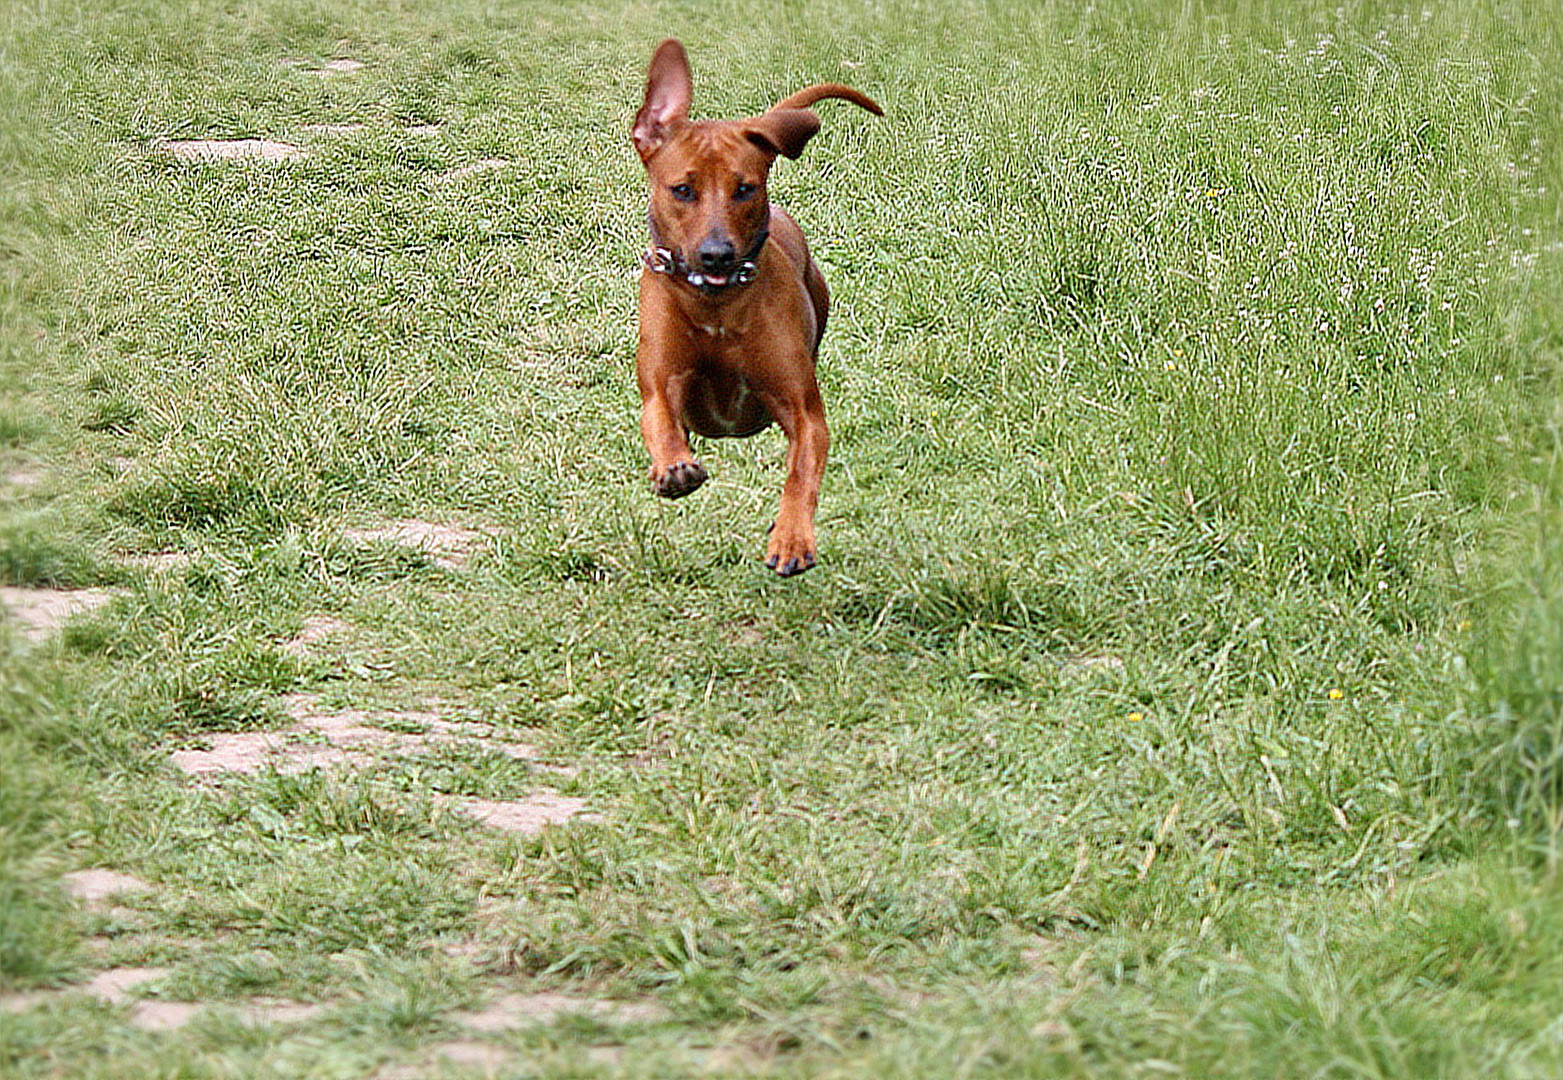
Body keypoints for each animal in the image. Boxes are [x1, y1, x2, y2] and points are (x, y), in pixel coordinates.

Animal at [631, 36, 881, 575]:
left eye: (745, 188)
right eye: (683, 190)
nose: (717, 254)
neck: (717, 308)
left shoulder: (800, 408)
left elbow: (801, 471)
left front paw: (791, 537)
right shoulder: (662, 383)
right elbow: (660, 420)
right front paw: (674, 467)